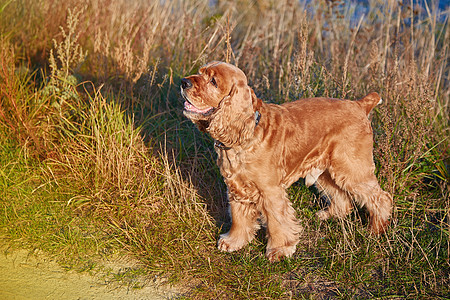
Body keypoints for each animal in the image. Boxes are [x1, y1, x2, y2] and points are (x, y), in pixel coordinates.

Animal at [181, 61, 392, 262]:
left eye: (213, 81)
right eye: (200, 72)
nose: (184, 82)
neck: (246, 133)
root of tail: (360, 104)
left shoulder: (271, 191)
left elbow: (277, 222)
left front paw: (279, 250)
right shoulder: (236, 188)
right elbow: (239, 218)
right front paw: (233, 242)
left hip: (351, 168)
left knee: (381, 198)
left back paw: (375, 230)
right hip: (326, 170)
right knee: (342, 196)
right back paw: (328, 215)